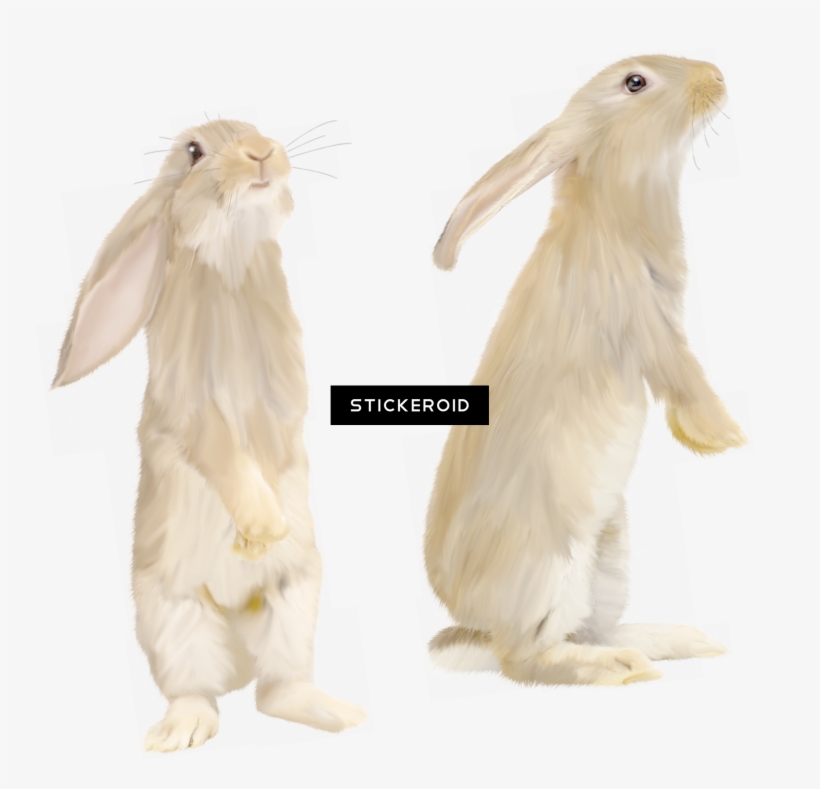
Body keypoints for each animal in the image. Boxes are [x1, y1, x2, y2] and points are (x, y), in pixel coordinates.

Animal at [52, 119, 366, 751]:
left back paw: (338, 713)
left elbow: (277, 448)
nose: (262, 152)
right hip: (173, 615)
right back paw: (176, 734)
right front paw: (262, 528)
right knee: (199, 691)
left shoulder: (281, 403)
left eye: (256, 129)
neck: (231, 263)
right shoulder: (194, 408)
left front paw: (262, 536)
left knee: (277, 690)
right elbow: (222, 452)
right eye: (194, 152)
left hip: (294, 599)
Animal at [425, 55, 746, 686]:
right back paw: (624, 668)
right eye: (635, 83)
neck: (612, 213)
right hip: (551, 570)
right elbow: (683, 373)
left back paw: (681, 640)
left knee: (589, 629)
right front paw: (724, 437)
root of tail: (476, 624)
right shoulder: (645, 322)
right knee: (526, 659)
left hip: (608, 557)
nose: (717, 75)